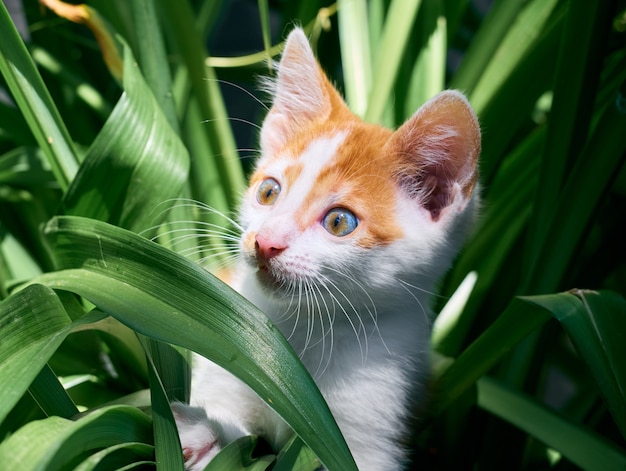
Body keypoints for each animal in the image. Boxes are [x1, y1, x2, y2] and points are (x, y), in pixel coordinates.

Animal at [173, 27, 480, 470]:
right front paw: (198, 431)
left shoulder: (372, 426)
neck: (305, 333)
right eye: (269, 192)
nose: (265, 242)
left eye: (339, 222)